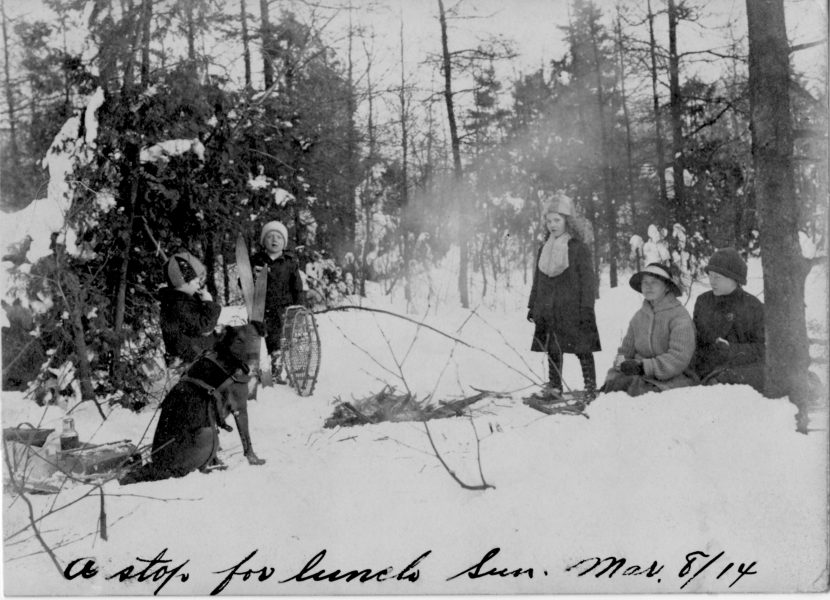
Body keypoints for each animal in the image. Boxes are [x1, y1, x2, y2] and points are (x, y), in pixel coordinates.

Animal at [122, 322, 264, 486]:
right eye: (238, 340)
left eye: (254, 337)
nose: (253, 361)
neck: (227, 356)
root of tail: (159, 468)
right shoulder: (240, 408)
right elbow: (247, 440)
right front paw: (254, 460)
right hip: (208, 433)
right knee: (197, 470)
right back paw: (217, 469)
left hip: (210, 431)